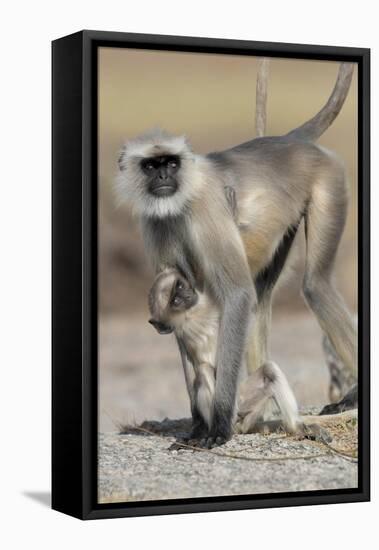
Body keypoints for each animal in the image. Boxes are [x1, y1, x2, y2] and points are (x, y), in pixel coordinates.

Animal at [119, 62, 360, 446]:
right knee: (264, 294)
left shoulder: (205, 209)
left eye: (171, 163)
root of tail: (289, 141)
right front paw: (198, 423)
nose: (163, 177)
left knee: (314, 285)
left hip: (329, 180)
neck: (178, 202)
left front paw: (218, 424)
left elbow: (236, 294)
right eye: (151, 165)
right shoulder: (154, 224)